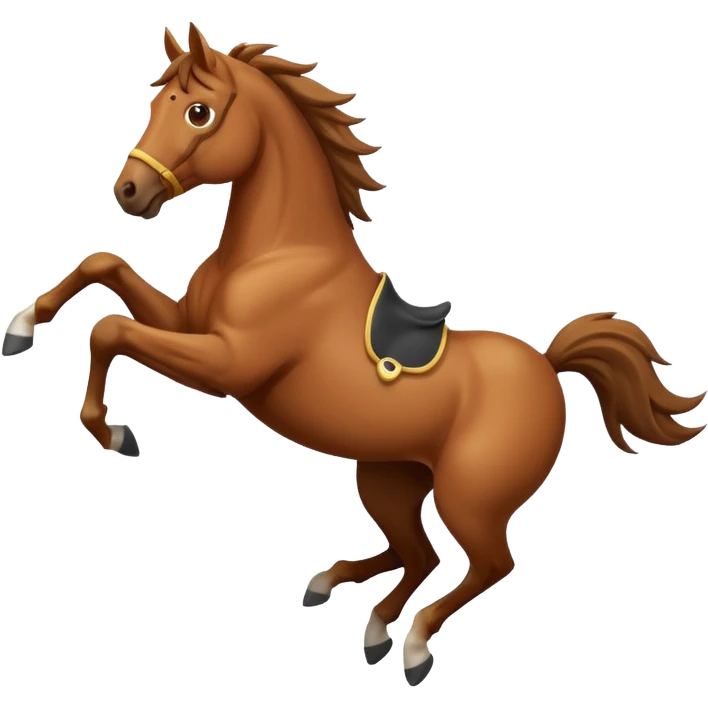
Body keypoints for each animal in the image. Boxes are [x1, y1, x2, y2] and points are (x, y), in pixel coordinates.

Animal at [1, 24, 705, 686]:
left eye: (197, 111)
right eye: (156, 102)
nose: (129, 191)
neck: (280, 253)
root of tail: (549, 364)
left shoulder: (226, 366)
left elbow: (110, 331)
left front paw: (113, 433)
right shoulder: (187, 324)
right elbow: (104, 266)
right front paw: (22, 327)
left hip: (467, 497)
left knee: (486, 563)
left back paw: (411, 643)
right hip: (389, 475)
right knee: (420, 554)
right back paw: (351, 606)